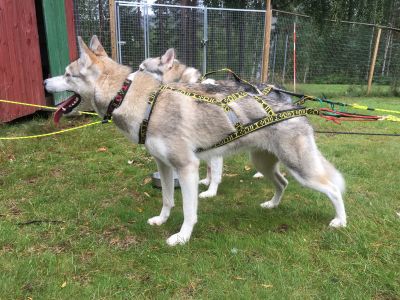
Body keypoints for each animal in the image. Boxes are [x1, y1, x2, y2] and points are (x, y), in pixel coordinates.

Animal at [44, 35, 346, 246]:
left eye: (68, 74)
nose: (46, 82)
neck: (137, 99)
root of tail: (295, 106)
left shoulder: (187, 167)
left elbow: (190, 210)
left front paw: (182, 237)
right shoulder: (164, 166)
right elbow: (167, 199)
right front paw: (161, 220)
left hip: (302, 170)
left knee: (334, 189)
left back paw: (340, 221)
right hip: (264, 163)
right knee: (282, 183)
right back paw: (272, 205)